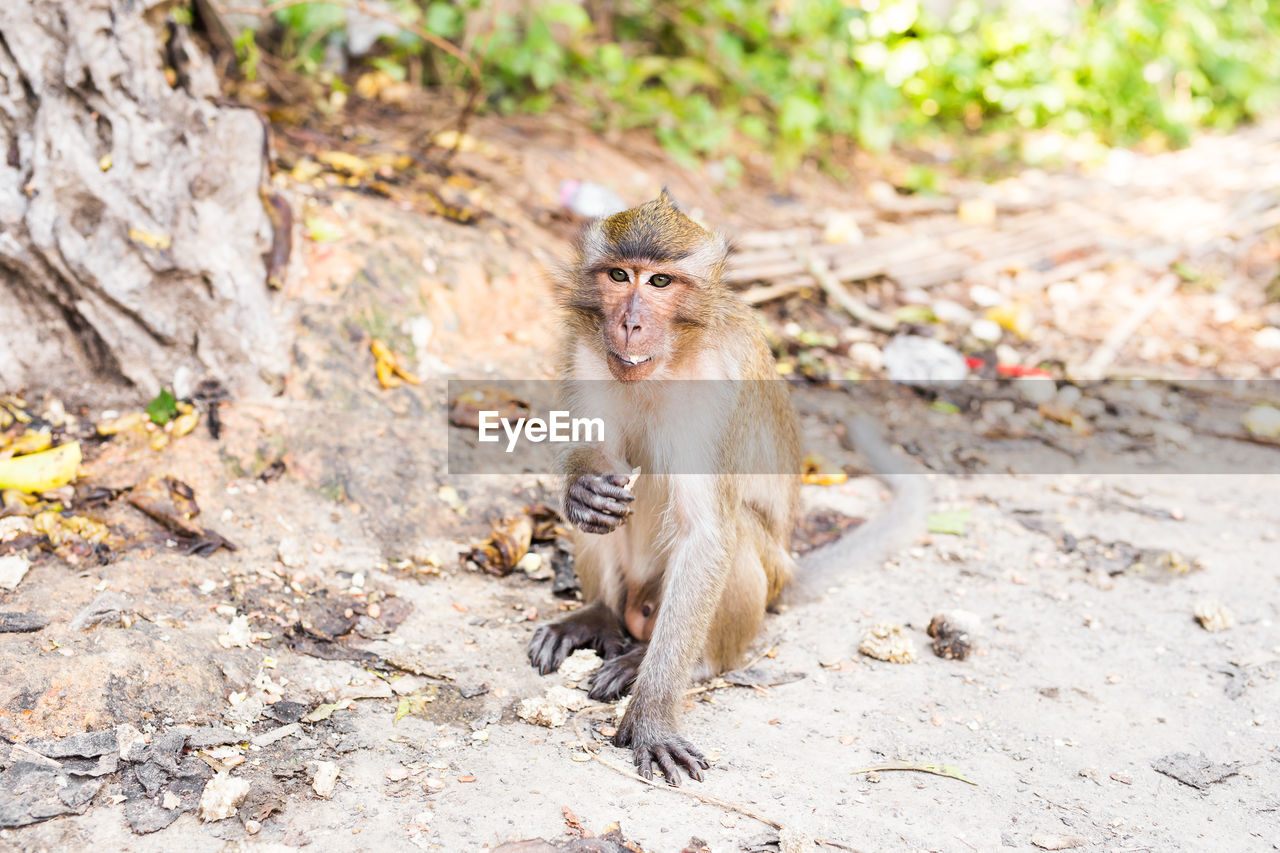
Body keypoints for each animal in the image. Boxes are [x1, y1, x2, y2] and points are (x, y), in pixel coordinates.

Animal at [524, 190, 926, 783]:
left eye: (659, 282)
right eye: (619, 275)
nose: (629, 323)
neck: (668, 361)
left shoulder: (719, 382)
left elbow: (709, 535)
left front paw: (651, 718)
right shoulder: (583, 347)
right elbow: (593, 460)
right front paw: (581, 489)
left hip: (756, 581)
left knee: (732, 537)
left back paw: (672, 663)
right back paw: (597, 614)